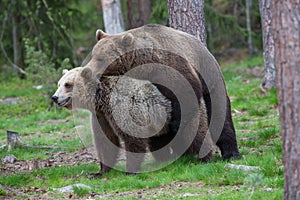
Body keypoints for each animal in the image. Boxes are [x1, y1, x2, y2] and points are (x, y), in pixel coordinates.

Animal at [52, 67, 214, 177]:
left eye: (68, 84)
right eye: (59, 84)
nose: (54, 97)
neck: (101, 98)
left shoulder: (122, 109)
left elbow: (132, 139)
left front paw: (130, 170)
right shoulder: (102, 116)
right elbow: (105, 141)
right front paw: (99, 171)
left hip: (183, 112)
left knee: (195, 133)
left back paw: (204, 157)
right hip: (159, 122)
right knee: (159, 141)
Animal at [83, 23, 240, 161]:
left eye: (101, 58)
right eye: (92, 55)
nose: (86, 71)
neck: (142, 64)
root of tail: (203, 46)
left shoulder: (168, 67)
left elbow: (187, 91)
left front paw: (176, 126)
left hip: (210, 76)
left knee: (220, 113)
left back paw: (231, 153)